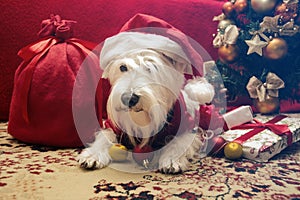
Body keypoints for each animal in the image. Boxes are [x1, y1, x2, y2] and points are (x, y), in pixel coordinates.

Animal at [76, 31, 214, 173]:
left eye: (151, 68)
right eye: (123, 67)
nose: (128, 98)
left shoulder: (188, 128)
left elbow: (178, 144)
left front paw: (171, 160)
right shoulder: (113, 126)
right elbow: (103, 137)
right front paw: (93, 155)